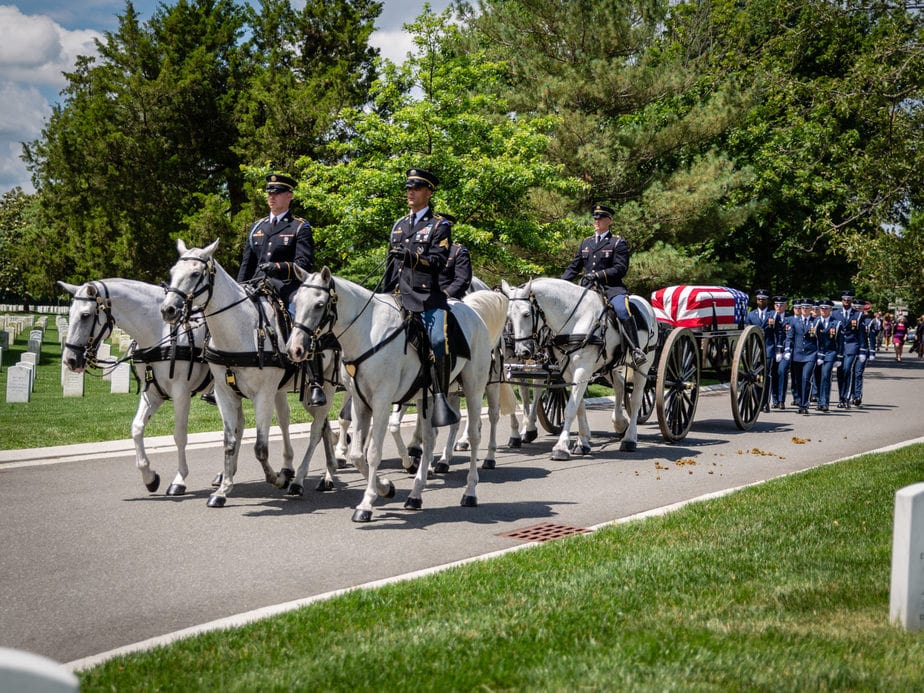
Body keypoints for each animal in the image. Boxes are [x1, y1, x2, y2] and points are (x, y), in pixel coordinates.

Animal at [60, 278, 212, 494]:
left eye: (85, 315)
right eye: (69, 313)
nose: (70, 360)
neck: (161, 331)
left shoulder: (181, 393)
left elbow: (180, 436)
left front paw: (179, 479)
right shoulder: (152, 393)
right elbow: (137, 428)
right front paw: (149, 477)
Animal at [159, 241, 340, 506]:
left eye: (195, 273)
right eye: (172, 272)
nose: (168, 310)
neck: (240, 331)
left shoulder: (263, 395)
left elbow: (260, 448)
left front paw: (277, 479)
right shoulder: (225, 394)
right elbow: (229, 442)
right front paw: (222, 491)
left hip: (324, 387)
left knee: (316, 430)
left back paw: (302, 481)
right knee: (324, 427)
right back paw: (327, 475)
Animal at [288, 264, 506, 520]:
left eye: (319, 304)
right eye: (296, 301)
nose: (295, 349)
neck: (367, 332)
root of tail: (471, 311)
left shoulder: (382, 400)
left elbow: (373, 452)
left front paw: (366, 504)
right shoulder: (360, 401)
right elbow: (357, 453)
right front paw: (385, 487)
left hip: (476, 386)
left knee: (475, 432)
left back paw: (470, 491)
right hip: (428, 397)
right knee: (430, 439)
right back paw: (416, 494)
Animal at [498, 276, 656, 460]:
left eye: (526, 314)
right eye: (508, 316)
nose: (522, 351)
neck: (575, 318)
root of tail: (645, 304)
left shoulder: (582, 369)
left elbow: (570, 408)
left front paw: (561, 447)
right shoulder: (569, 372)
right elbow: (579, 406)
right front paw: (582, 442)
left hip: (644, 365)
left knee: (637, 398)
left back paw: (630, 438)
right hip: (608, 366)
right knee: (619, 385)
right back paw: (619, 423)